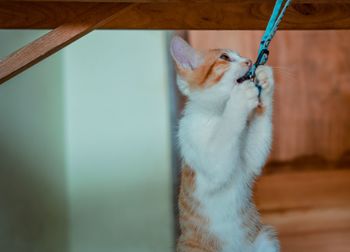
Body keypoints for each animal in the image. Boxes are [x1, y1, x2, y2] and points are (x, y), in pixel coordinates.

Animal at [170, 36, 278, 252]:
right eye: (225, 58)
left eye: (241, 56)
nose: (249, 61)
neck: (217, 113)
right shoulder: (193, 137)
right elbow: (223, 143)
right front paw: (240, 99)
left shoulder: (248, 161)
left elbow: (254, 155)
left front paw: (265, 81)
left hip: (264, 241)